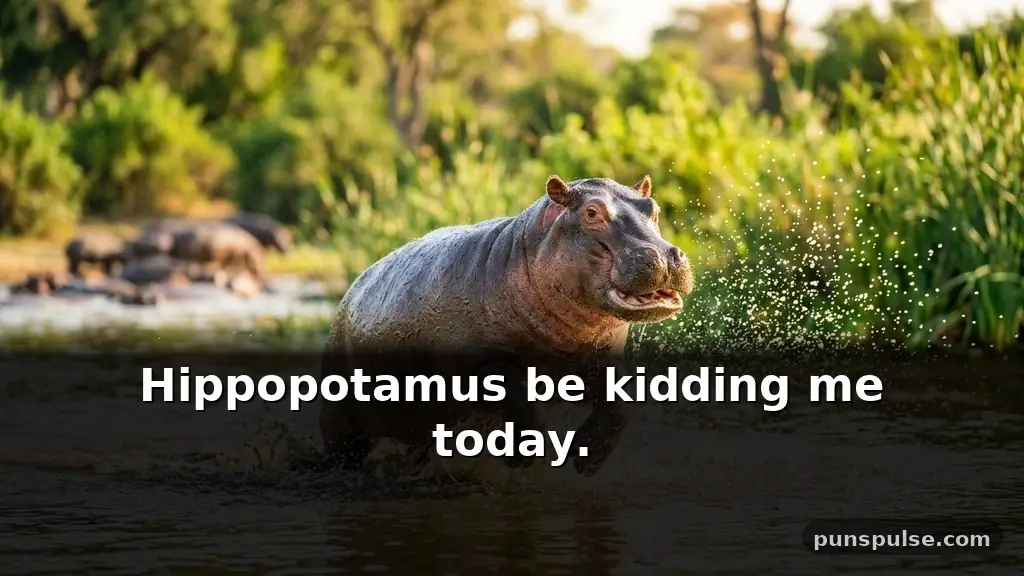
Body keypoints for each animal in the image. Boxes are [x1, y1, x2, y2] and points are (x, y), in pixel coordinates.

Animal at [319, 175, 694, 478]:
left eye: (653, 209)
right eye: (591, 212)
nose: (663, 255)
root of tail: (350, 290)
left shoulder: (600, 359)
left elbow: (621, 404)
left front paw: (586, 459)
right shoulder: (481, 364)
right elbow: (517, 397)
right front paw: (522, 459)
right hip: (341, 420)